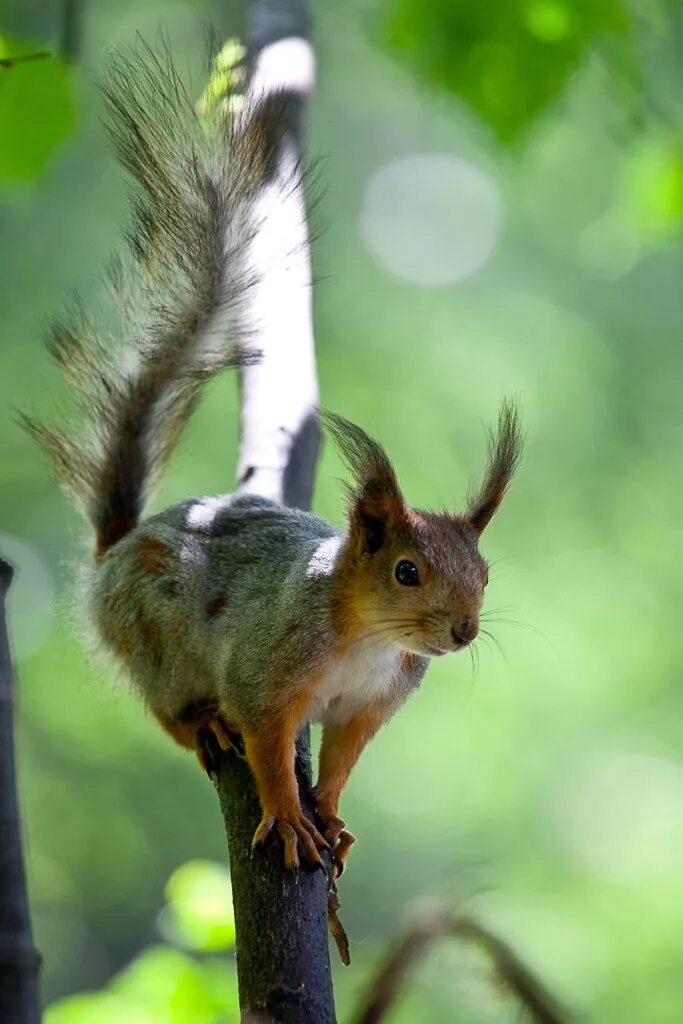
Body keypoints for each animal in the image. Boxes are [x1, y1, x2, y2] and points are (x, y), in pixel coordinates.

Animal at [22, 37, 524, 872]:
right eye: (406, 571)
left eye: (484, 575)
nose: (461, 632)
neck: (367, 637)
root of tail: (116, 548)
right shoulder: (267, 668)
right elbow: (265, 743)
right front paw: (289, 816)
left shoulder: (368, 706)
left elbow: (343, 760)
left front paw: (333, 815)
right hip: (150, 632)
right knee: (164, 707)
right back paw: (200, 724)